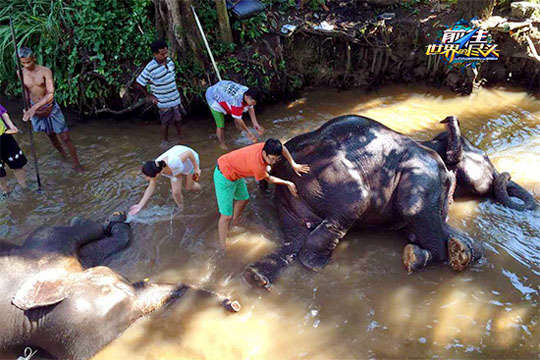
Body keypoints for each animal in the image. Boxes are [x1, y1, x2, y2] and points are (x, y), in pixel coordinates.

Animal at [243, 115, 484, 290]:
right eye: (482, 157)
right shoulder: (424, 175)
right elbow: (416, 214)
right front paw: (424, 256)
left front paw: (460, 249)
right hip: (332, 178)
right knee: (353, 205)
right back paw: (314, 264)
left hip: (288, 198)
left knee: (295, 235)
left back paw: (257, 276)